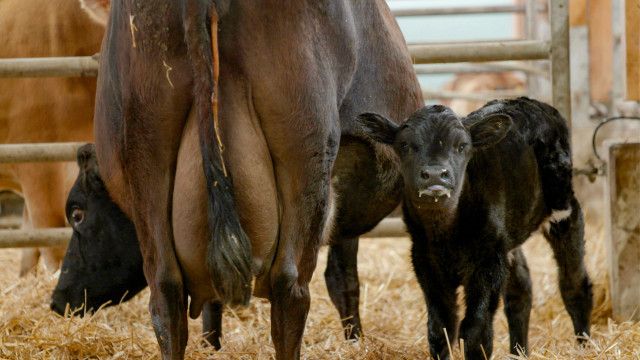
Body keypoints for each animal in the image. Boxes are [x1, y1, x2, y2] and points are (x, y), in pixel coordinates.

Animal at [75, 1, 422, 358]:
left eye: (77, 214)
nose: (61, 300)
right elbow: (343, 277)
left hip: (145, 157)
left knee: (165, 293)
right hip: (306, 158)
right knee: (290, 288)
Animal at [358, 96, 592, 360]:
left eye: (462, 146)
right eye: (405, 145)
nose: (436, 175)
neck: (446, 234)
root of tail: (530, 102)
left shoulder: (488, 260)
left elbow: (475, 330)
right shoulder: (425, 259)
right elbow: (440, 328)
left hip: (564, 209)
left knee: (574, 284)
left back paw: (583, 347)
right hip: (508, 238)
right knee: (520, 290)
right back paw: (518, 352)